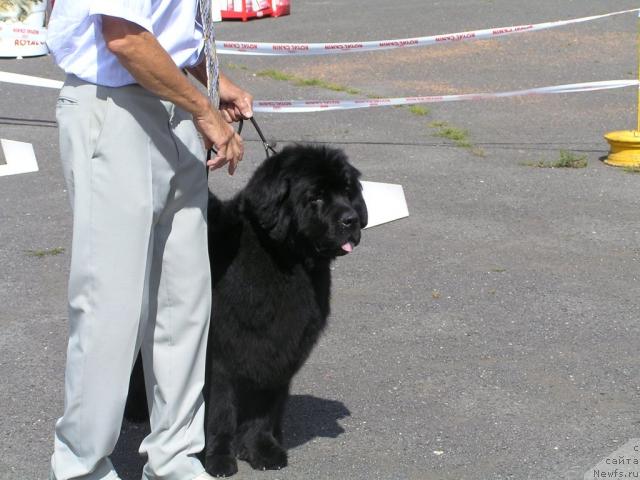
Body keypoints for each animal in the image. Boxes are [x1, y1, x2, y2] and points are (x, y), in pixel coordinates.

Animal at [126, 143, 364, 476]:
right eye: (315, 196)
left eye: (347, 191)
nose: (351, 220)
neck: (282, 260)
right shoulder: (221, 357)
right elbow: (221, 413)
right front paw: (219, 459)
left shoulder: (277, 353)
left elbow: (263, 411)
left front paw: (262, 450)